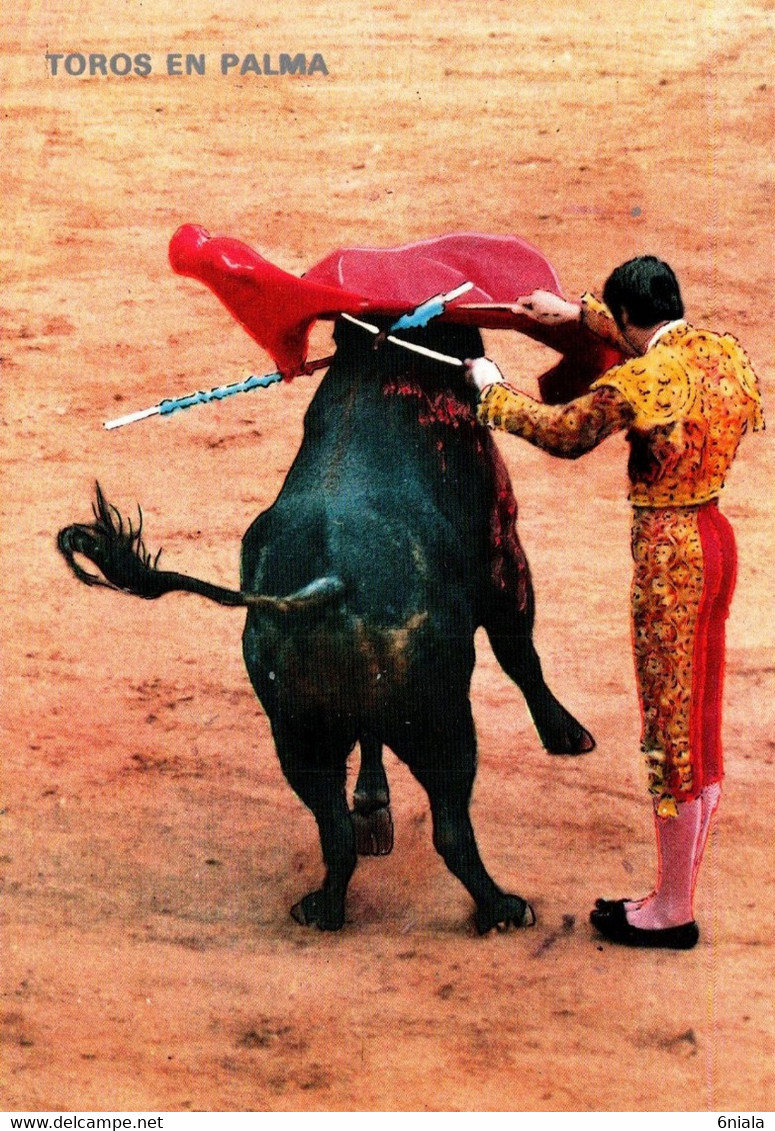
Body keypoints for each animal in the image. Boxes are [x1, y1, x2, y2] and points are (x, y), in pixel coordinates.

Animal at [58, 321, 592, 936]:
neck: (380, 362)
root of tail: (331, 579)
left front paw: (372, 804)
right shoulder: (503, 553)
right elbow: (521, 655)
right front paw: (568, 734)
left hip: (297, 733)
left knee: (334, 832)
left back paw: (324, 906)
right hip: (440, 720)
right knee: (451, 828)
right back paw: (502, 908)